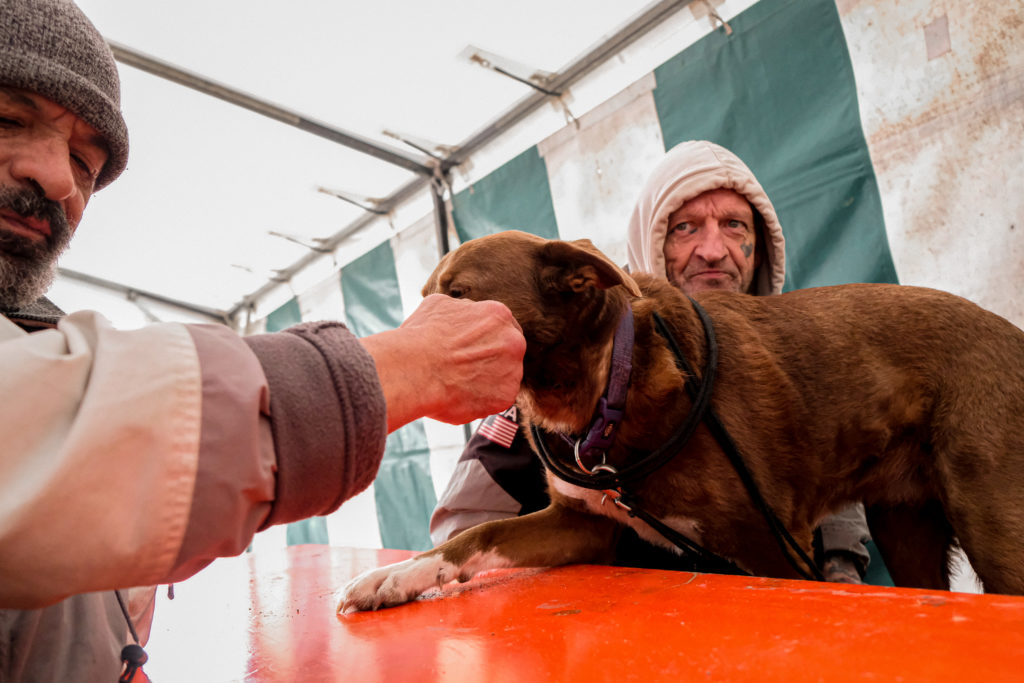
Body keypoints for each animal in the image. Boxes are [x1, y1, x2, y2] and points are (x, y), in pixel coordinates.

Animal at [339, 232, 1024, 610]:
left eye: (457, 295)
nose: (396, 346)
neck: (602, 390)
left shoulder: (772, 545)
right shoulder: (583, 528)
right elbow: (476, 535)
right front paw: (396, 576)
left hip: (993, 521)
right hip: (907, 525)